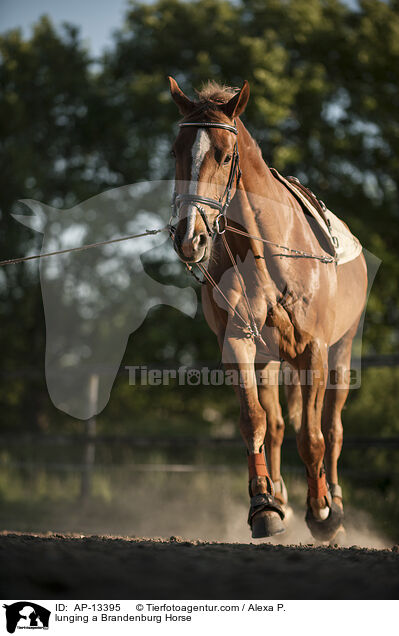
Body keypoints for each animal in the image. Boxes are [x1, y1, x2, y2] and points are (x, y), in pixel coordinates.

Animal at [169, 76, 368, 540]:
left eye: (225, 156)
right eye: (175, 152)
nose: (190, 237)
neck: (266, 252)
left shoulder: (314, 351)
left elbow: (312, 437)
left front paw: (322, 513)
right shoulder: (238, 345)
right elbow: (254, 420)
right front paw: (263, 506)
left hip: (341, 352)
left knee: (332, 429)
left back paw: (335, 503)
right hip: (269, 359)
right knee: (276, 425)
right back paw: (279, 498)